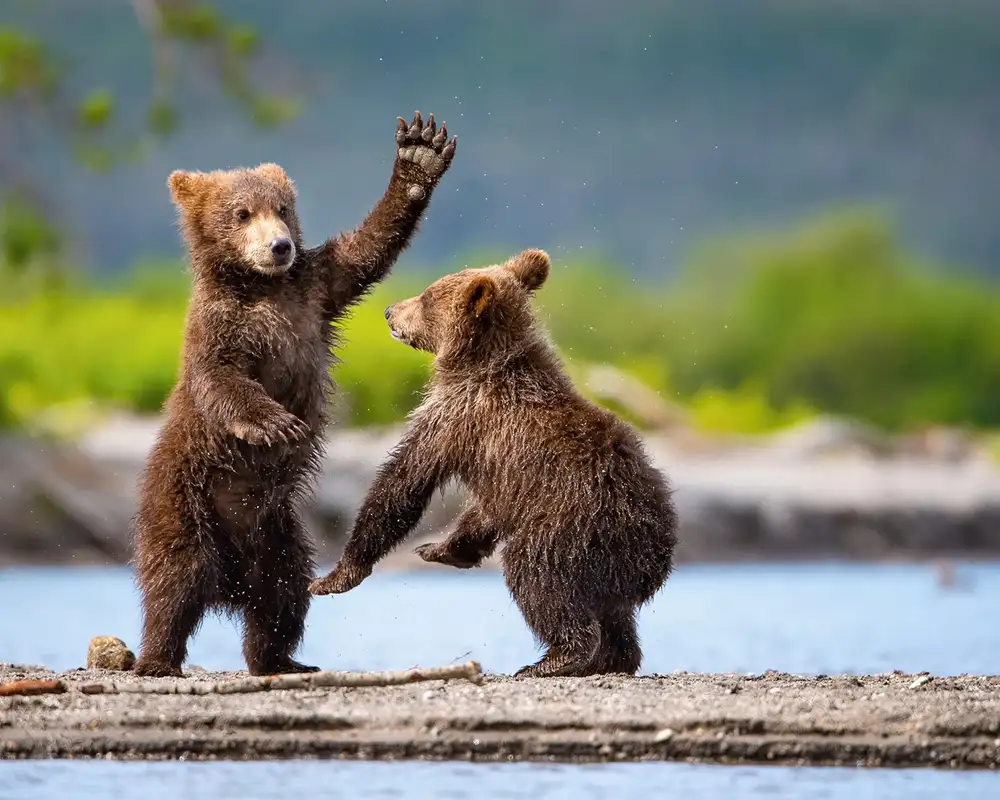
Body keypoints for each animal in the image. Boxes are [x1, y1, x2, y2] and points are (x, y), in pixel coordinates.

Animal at [131, 111, 457, 678]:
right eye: (241, 213)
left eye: (282, 209)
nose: (279, 246)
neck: (259, 287)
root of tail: (228, 584)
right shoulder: (219, 328)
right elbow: (221, 379)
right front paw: (276, 422)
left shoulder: (313, 290)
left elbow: (363, 252)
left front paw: (419, 154)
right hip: (185, 501)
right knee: (174, 580)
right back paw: (157, 658)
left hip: (278, 532)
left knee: (283, 594)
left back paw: (281, 658)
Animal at [308, 249, 678, 678]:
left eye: (426, 296)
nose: (389, 311)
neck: (478, 364)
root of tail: (656, 554)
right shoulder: (493, 464)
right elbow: (481, 512)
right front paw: (438, 549)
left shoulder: (457, 416)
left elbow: (404, 481)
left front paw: (335, 576)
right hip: (610, 565)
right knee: (615, 614)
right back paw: (612, 659)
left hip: (575, 529)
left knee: (537, 577)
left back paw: (554, 659)